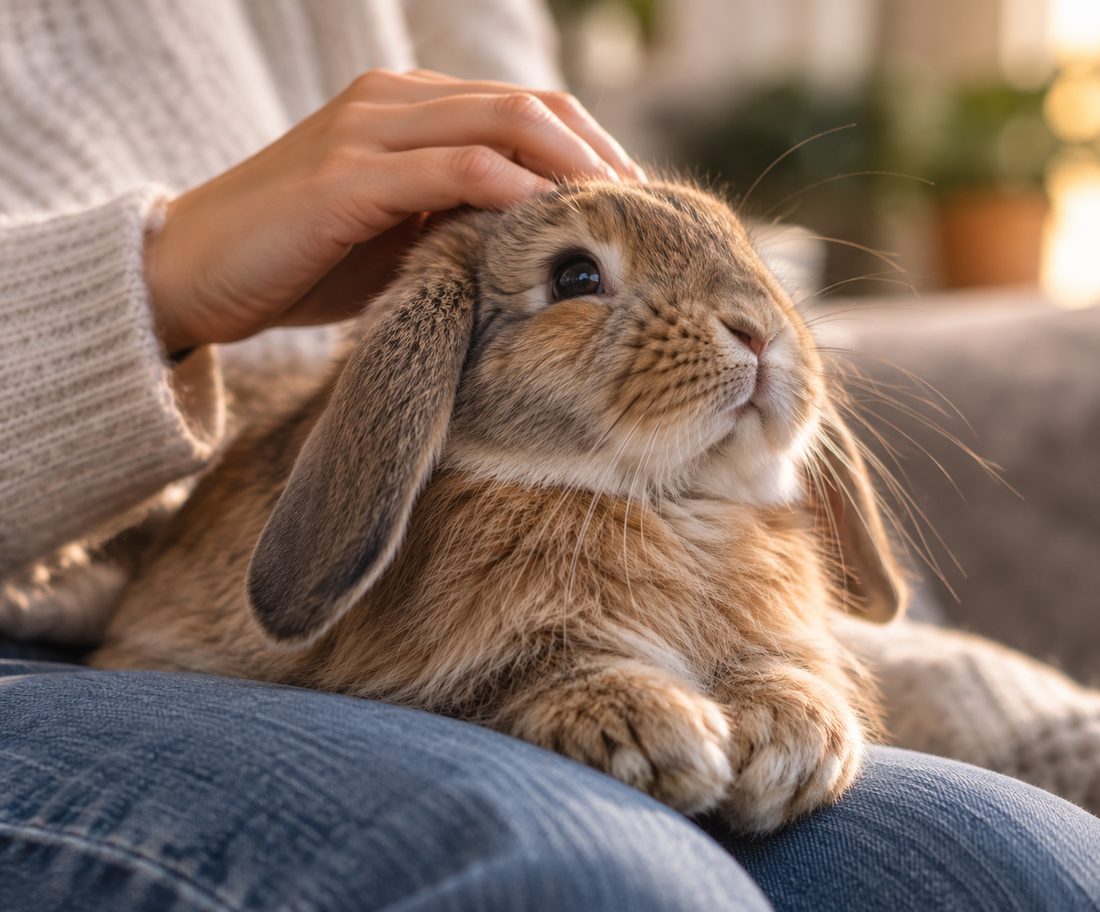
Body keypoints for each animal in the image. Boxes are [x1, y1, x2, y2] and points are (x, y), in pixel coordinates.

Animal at [91, 178, 907, 833]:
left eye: (747, 248)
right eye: (575, 275)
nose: (757, 330)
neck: (670, 499)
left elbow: (782, 664)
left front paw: (793, 747)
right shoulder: (466, 669)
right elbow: (521, 677)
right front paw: (661, 737)